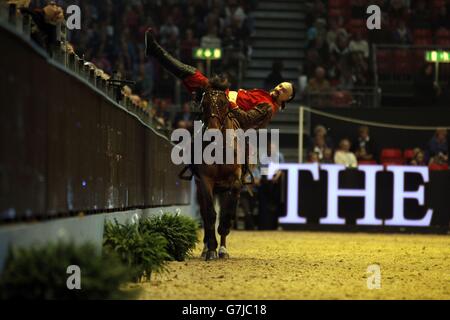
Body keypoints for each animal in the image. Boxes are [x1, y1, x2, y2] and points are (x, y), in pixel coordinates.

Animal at [192, 77, 244, 260]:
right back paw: (207, 248)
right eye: (204, 103)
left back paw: (223, 248)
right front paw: (211, 249)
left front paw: (222, 243)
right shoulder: (205, 182)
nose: (212, 133)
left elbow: (226, 213)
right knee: (205, 214)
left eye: (223, 103)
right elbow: (210, 214)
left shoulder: (234, 181)